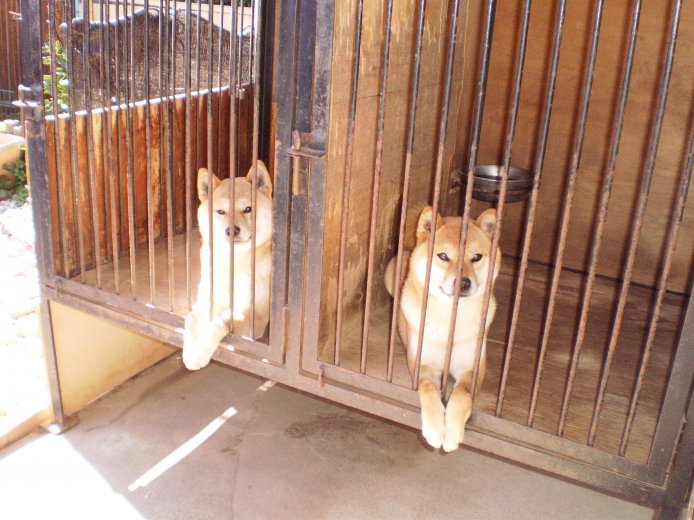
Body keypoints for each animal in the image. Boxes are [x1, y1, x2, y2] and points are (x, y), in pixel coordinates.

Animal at [184, 161, 274, 370]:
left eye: (248, 209)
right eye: (221, 212)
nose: (231, 230)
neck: (232, 263)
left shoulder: (253, 318)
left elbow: (219, 321)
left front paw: (199, 353)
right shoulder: (205, 301)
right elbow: (190, 320)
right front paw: (189, 352)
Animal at [386, 206, 500, 450]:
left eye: (477, 257)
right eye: (443, 256)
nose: (463, 282)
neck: (450, 320)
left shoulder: (472, 369)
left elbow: (461, 395)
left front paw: (452, 433)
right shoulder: (423, 365)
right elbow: (429, 389)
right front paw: (435, 430)